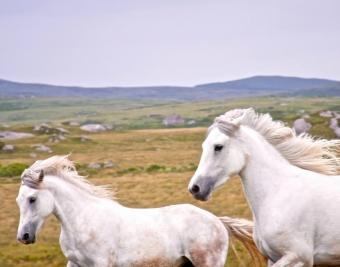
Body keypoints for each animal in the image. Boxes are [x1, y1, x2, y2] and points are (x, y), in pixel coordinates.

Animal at [17, 155, 264, 267]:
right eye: (18, 201)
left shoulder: (102, 264)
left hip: (207, 263)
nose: (24, 237)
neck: (83, 223)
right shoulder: (75, 263)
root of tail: (217, 221)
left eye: (32, 199)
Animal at [189, 109, 340, 267]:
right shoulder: (273, 258)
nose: (195, 188)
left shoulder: (299, 257)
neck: (278, 193)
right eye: (204, 146)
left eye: (218, 147)